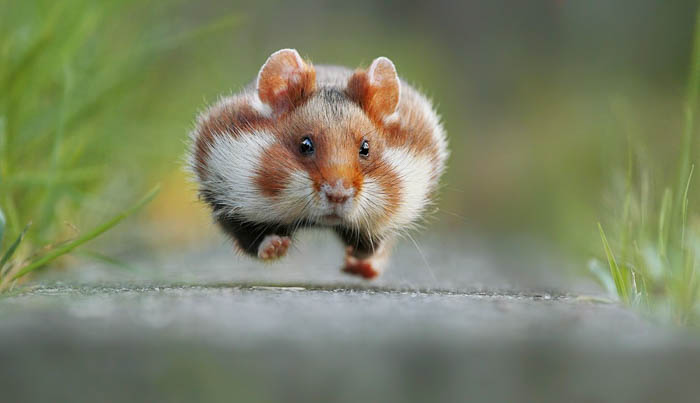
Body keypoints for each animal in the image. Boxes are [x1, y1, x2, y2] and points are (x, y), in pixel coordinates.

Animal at [188, 49, 448, 279]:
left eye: (365, 148)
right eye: (305, 145)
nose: (338, 195)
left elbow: (371, 243)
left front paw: (356, 254)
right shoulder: (228, 199)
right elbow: (252, 239)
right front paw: (277, 246)